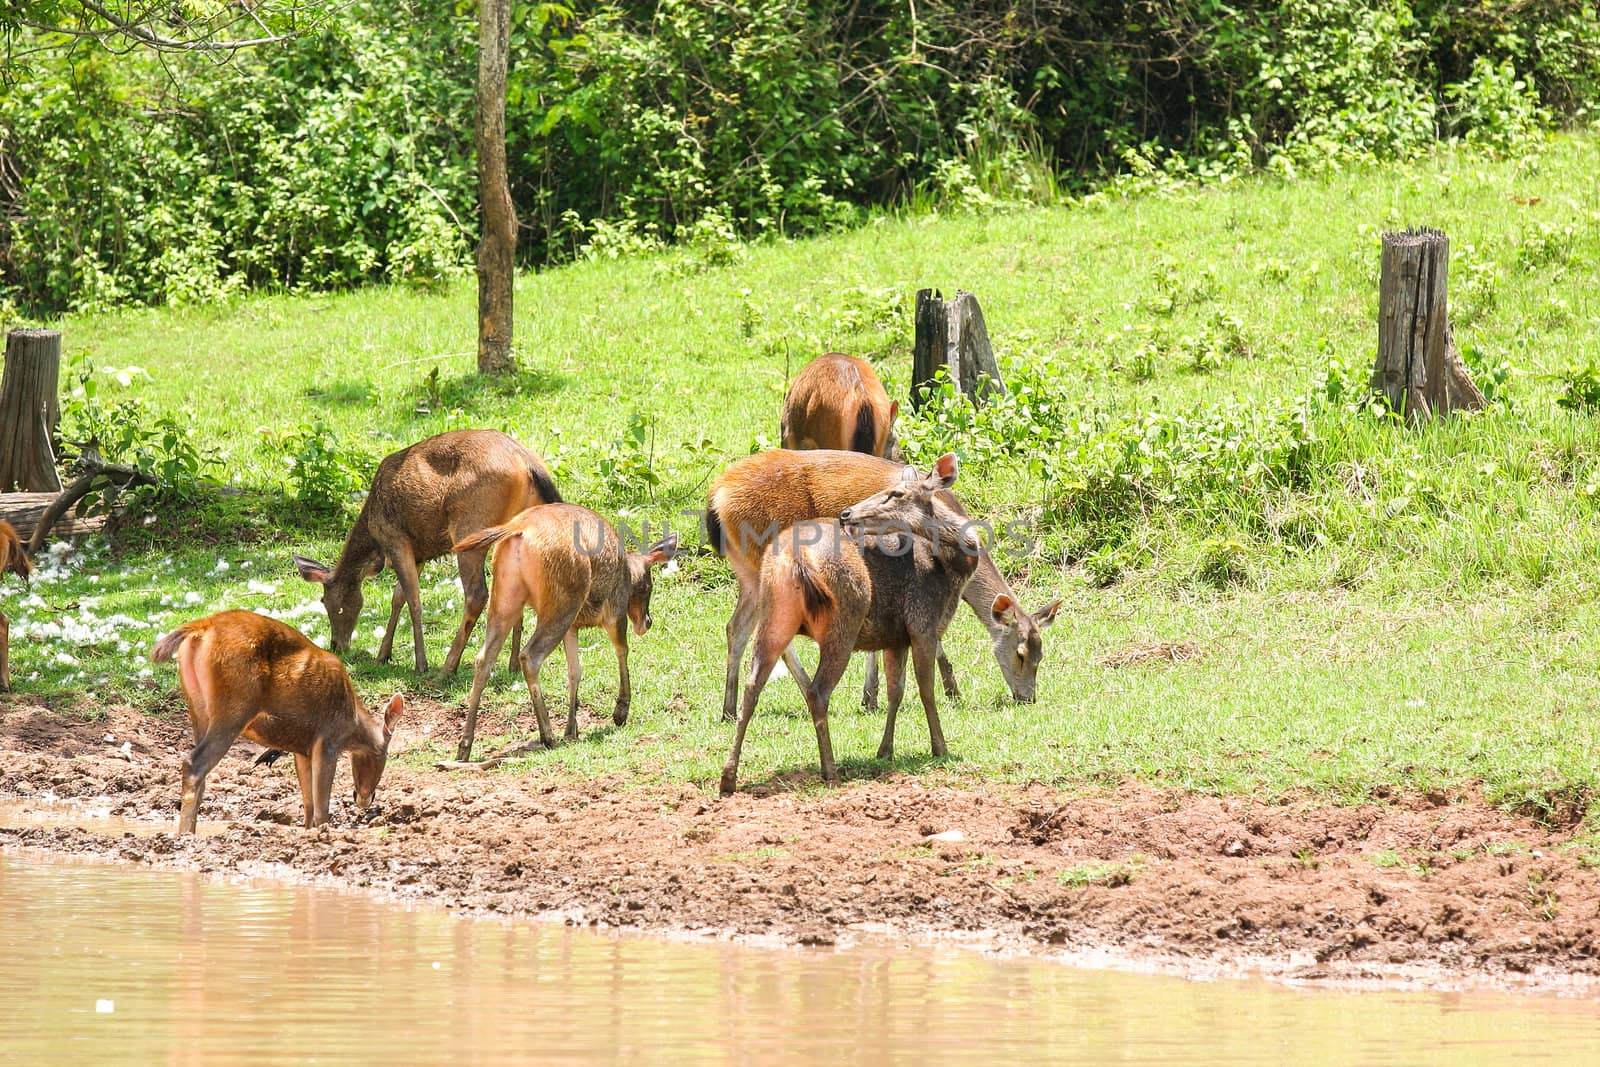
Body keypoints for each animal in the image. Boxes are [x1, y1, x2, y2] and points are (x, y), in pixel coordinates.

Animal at [150, 607, 403, 831]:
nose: (365, 798)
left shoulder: (303, 749)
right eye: (384, 755)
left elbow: (308, 803)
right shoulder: (328, 739)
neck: (353, 724)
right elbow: (321, 807)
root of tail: (202, 626)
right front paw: (325, 833)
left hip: (197, 707)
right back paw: (185, 836)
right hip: (234, 707)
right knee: (194, 764)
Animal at [294, 428, 563, 671]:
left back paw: (448, 667)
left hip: (470, 527)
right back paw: (512, 665)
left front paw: (419, 664)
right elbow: (398, 597)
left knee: (477, 595)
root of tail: (527, 463)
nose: (337, 645)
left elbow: (413, 600)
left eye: (329, 602)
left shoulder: (395, 539)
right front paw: (383, 655)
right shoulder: (419, 551)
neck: (373, 532)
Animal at [448, 505, 678, 764]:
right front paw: (620, 712)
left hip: (506, 598)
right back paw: (547, 735)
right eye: (648, 586)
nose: (647, 622)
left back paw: (464, 747)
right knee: (530, 656)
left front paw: (572, 729)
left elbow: (574, 672)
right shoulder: (614, 611)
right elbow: (622, 650)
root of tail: (517, 529)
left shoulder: (573, 627)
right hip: (563, 602)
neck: (627, 570)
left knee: (483, 659)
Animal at [704, 447, 1056, 723]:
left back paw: (728, 709)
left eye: (1041, 656)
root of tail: (716, 496)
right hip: (766, 561)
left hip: (748, 571)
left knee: (736, 627)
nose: (1027, 697)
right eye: (1021, 653)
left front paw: (872, 696)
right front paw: (945, 690)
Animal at [720, 451, 979, 793]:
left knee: (753, 686)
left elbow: (896, 692)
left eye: (897, 493)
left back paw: (728, 776)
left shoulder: (895, 638)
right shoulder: (923, 623)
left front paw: (885, 751)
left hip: (775, 615)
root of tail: (797, 557)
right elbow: (925, 689)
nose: (846, 513)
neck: (949, 570)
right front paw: (940, 747)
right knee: (818, 692)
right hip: (845, 619)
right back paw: (829, 770)